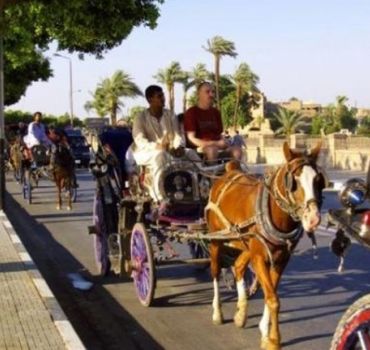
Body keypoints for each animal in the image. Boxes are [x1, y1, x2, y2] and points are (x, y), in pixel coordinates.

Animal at [207, 142, 326, 350]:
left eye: (318, 180)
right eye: (294, 181)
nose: (313, 219)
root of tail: (230, 171)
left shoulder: (281, 259)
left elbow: (271, 294)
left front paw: (265, 332)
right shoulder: (260, 258)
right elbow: (273, 299)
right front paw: (274, 339)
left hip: (246, 243)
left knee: (238, 266)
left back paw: (241, 313)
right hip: (216, 240)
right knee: (215, 270)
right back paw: (217, 312)